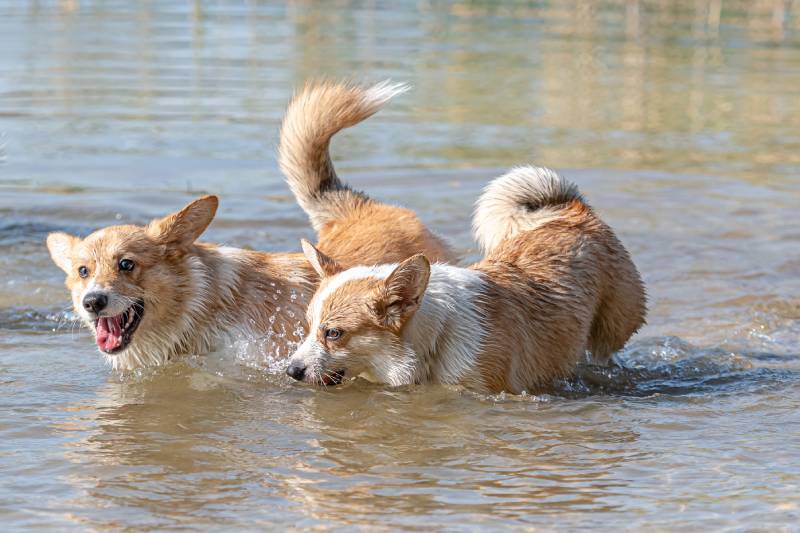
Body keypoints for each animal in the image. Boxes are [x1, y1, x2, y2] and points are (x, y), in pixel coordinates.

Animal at [284, 167, 648, 394]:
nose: (291, 371)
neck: (433, 343)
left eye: (333, 333)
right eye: (307, 326)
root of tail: (573, 210)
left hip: (611, 330)